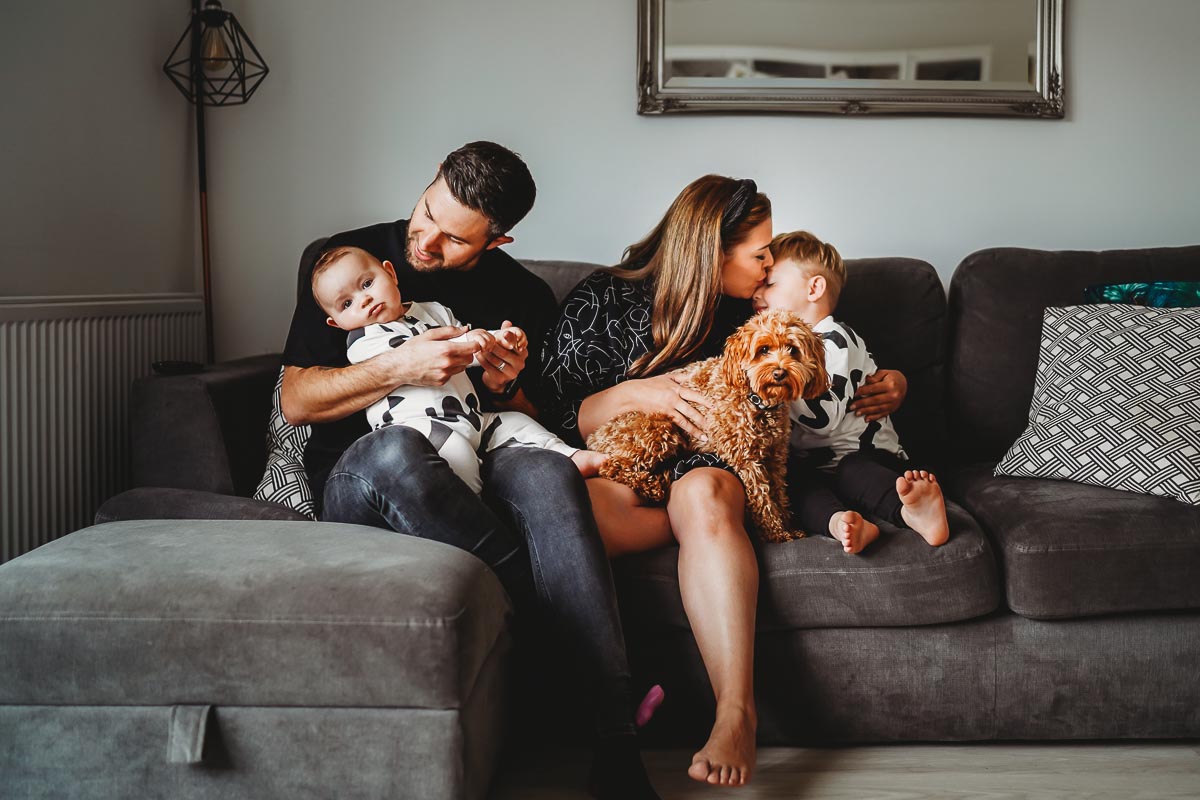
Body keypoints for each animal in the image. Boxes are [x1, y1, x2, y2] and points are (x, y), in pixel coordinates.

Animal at [585, 309, 830, 542]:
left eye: (793, 350)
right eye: (763, 350)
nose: (779, 373)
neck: (756, 400)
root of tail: (595, 437)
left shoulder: (774, 456)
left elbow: (778, 493)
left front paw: (789, 527)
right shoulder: (747, 459)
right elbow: (763, 499)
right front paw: (776, 533)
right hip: (658, 430)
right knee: (611, 467)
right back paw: (650, 486)